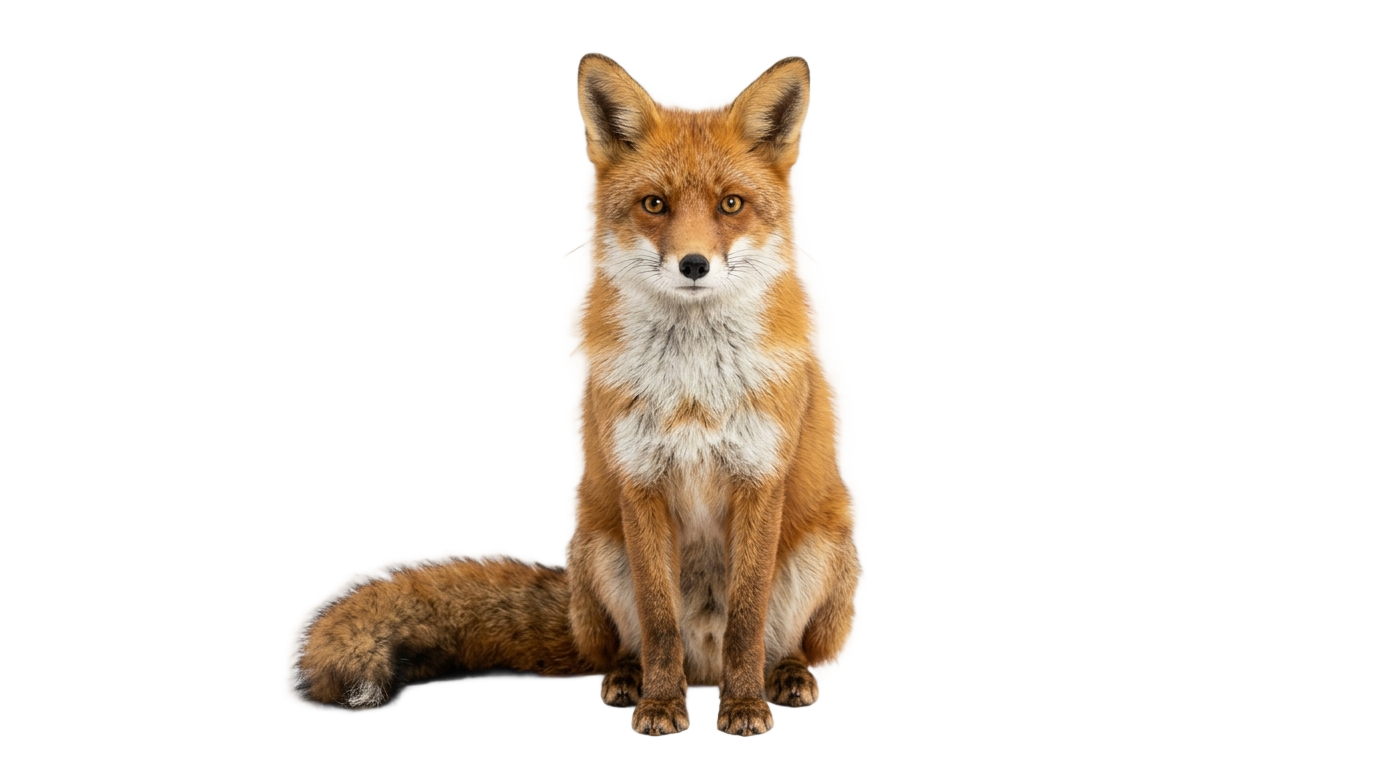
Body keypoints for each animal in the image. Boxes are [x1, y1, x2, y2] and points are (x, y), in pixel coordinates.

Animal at [291, 53, 858, 736]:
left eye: (731, 204)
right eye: (654, 204)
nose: (694, 264)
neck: (693, 387)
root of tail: (704, 666)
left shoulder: (759, 480)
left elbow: (748, 621)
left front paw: (746, 707)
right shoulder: (641, 482)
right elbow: (659, 620)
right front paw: (658, 707)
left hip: (820, 552)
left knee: (784, 644)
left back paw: (785, 677)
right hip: (599, 549)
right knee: (626, 647)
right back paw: (631, 681)